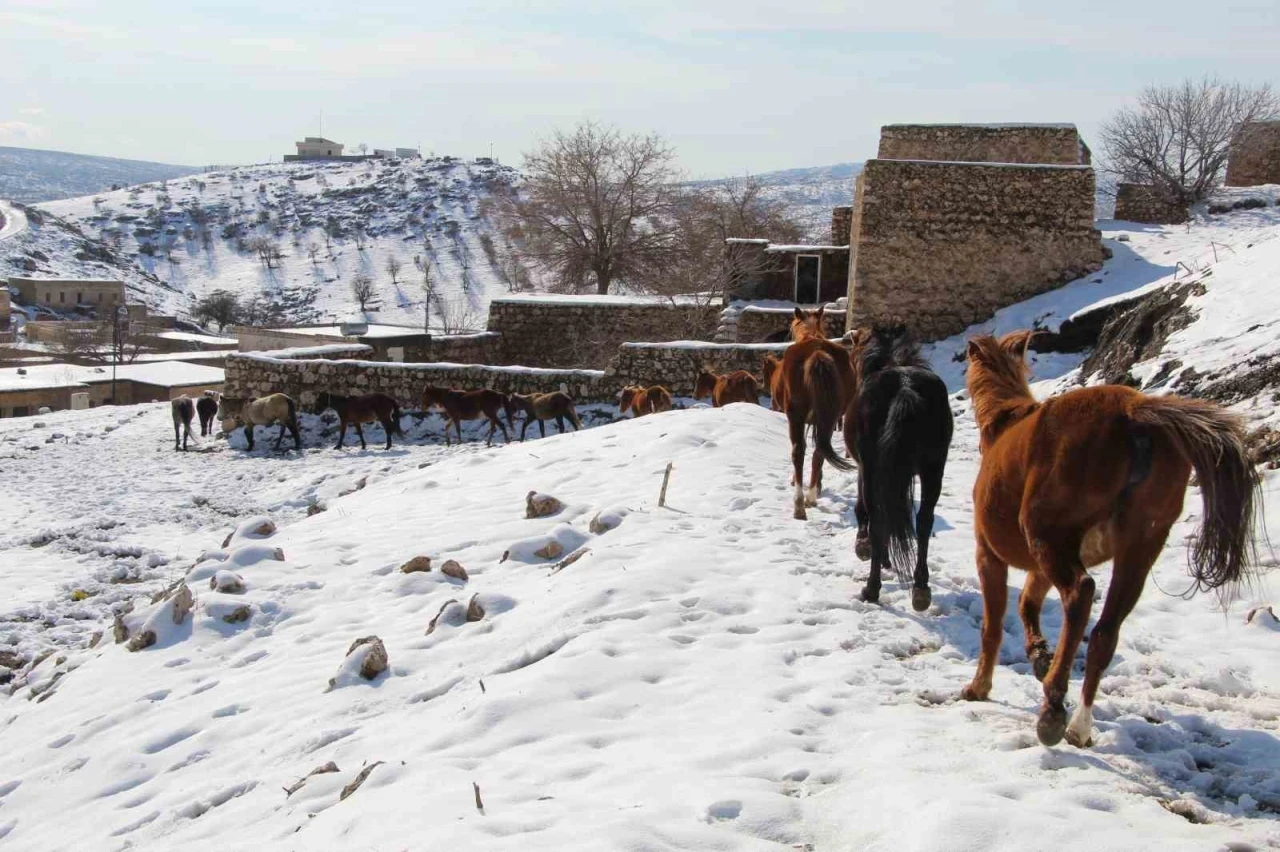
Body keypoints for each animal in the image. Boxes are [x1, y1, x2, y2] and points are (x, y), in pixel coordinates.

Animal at [775, 306, 855, 520]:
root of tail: (817, 352)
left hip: (796, 417)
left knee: (799, 451)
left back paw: (801, 502)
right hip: (830, 417)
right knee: (819, 451)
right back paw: (810, 497)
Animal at [846, 326, 953, 612]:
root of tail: (905, 386)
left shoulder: (867, 470)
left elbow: (866, 510)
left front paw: (867, 549)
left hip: (874, 468)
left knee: (877, 518)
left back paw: (872, 588)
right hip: (932, 469)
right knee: (924, 521)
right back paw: (921, 589)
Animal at [962, 330, 1261, 748]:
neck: (1005, 425)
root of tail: (1137, 412)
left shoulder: (989, 554)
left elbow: (993, 626)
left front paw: (980, 686)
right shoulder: (1043, 564)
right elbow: (1027, 604)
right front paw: (1039, 655)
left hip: (1048, 535)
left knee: (1080, 595)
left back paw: (1053, 707)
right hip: (1138, 547)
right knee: (1105, 632)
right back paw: (1078, 725)